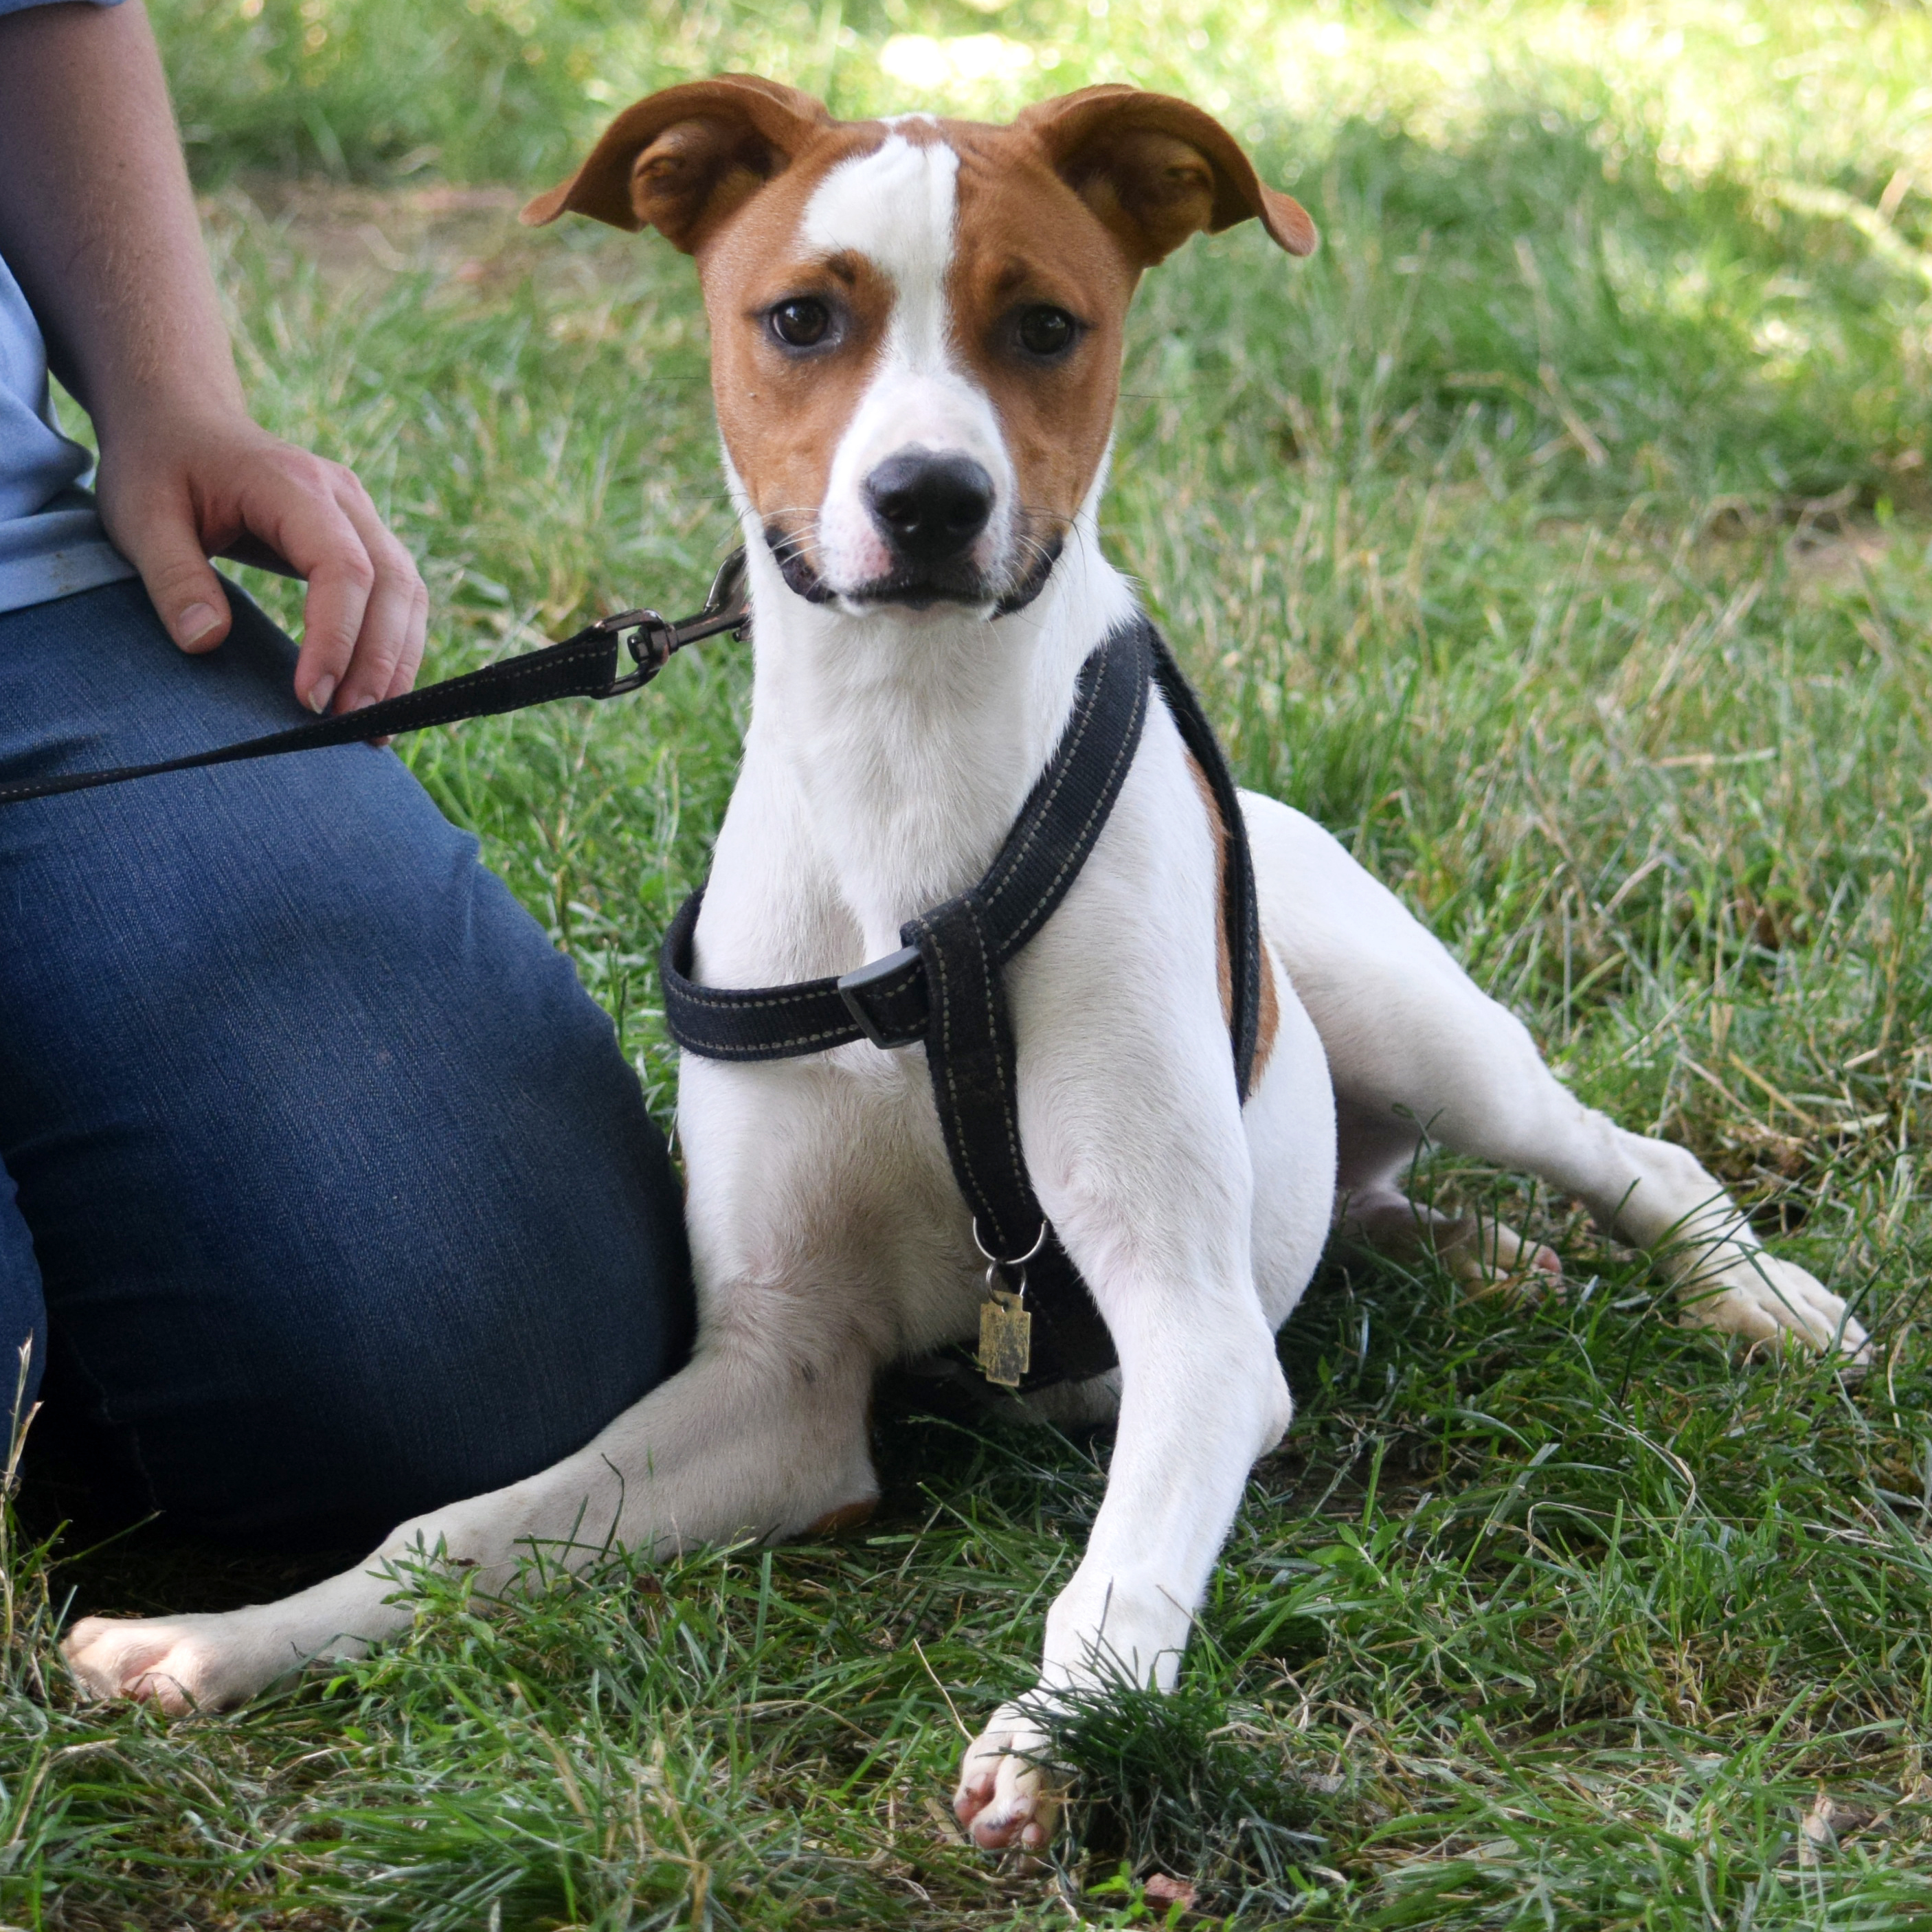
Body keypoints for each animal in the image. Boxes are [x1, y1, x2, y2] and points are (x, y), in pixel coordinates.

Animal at [68, 79, 1862, 1854]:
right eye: (800, 317)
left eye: (1045, 325)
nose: (927, 496)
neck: (903, 786)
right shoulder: (779, 1380)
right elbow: (457, 1525)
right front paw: (223, 1635)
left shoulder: (1191, 1325)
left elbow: (1122, 1561)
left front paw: (1067, 1730)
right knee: (1374, 1209)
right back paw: (1486, 1259)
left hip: (1419, 1028)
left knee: (1625, 1154)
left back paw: (1758, 1297)